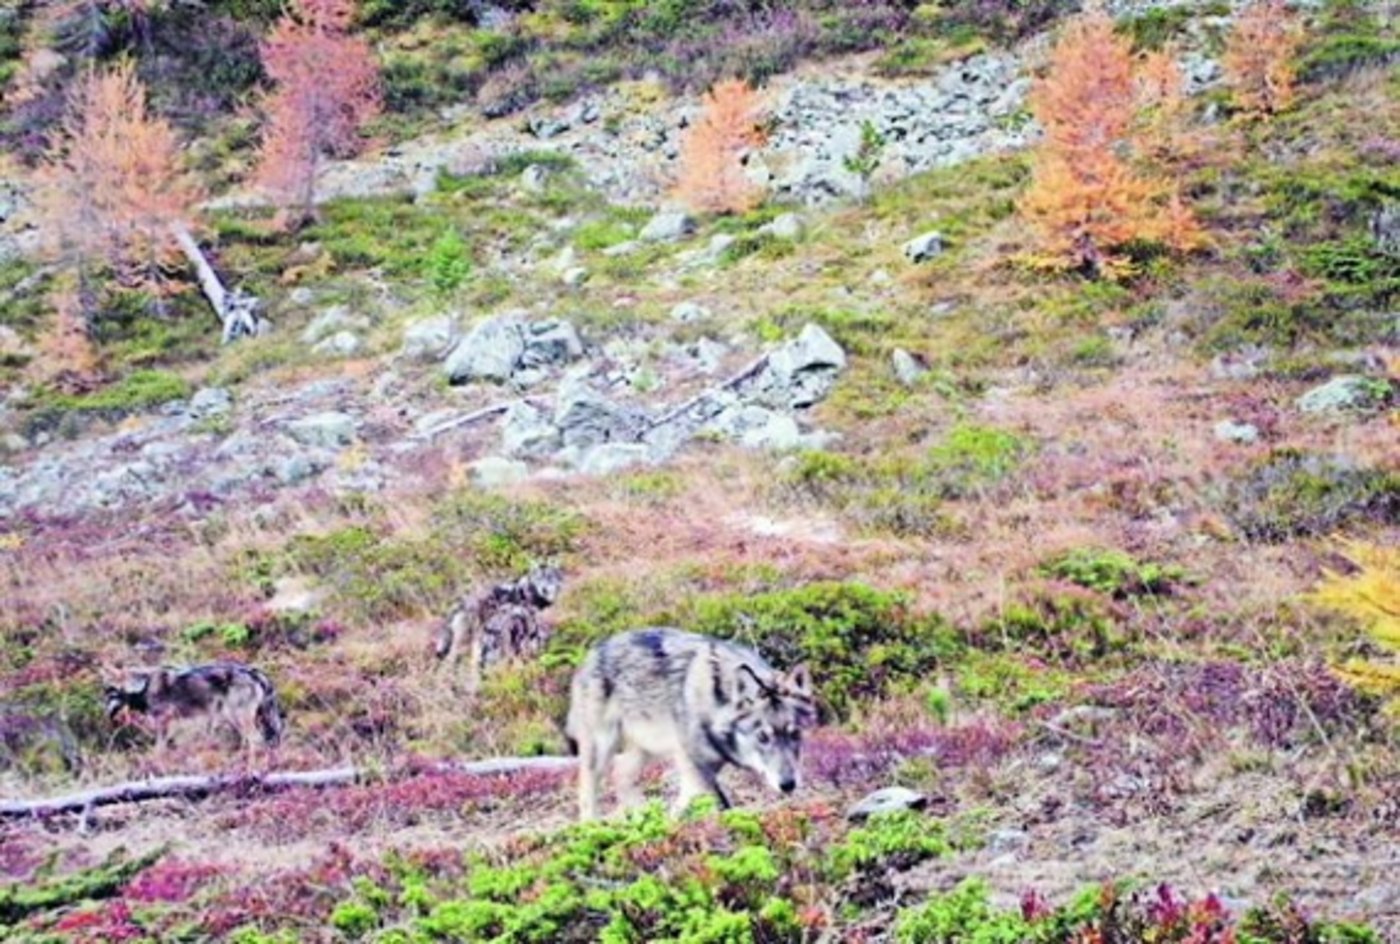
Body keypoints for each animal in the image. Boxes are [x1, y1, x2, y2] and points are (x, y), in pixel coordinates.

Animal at [104, 662, 284, 758]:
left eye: (109, 693)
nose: (106, 714)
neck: (145, 684)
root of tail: (256, 673)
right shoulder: (178, 725)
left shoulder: (164, 722)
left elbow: (159, 749)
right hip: (237, 720)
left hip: (238, 718)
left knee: (256, 740)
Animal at [434, 564, 564, 686]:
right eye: (540, 578)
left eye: (551, 577)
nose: (544, 590)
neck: (526, 592)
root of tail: (461, 604)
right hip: (473, 637)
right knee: (457, 660)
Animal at [564, 627, 817, 821]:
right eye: (763, 737)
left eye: (795, 734)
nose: (788, 784)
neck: (715, 701)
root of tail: (591, 653)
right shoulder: (693, 764)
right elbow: (707, 803)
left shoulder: (706, 766)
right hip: (601, 748)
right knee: (587, 791)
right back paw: (592, 827)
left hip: (647, 750)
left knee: (621, 776)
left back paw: (642, 816)